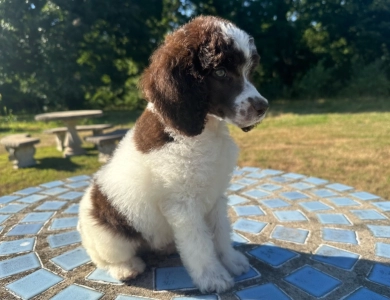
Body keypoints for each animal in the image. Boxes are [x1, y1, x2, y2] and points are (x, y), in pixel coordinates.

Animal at [78, 14, 270, 292]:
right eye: (220, 72)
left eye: (249, 71)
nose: (263, 107)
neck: (202, 130)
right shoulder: (183, 205)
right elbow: (199, 244)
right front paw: (213, 277)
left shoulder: (215, 196)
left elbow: (220, 234)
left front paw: (231, 261)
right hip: (109, 234)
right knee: (105, 258)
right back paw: (126, 268)